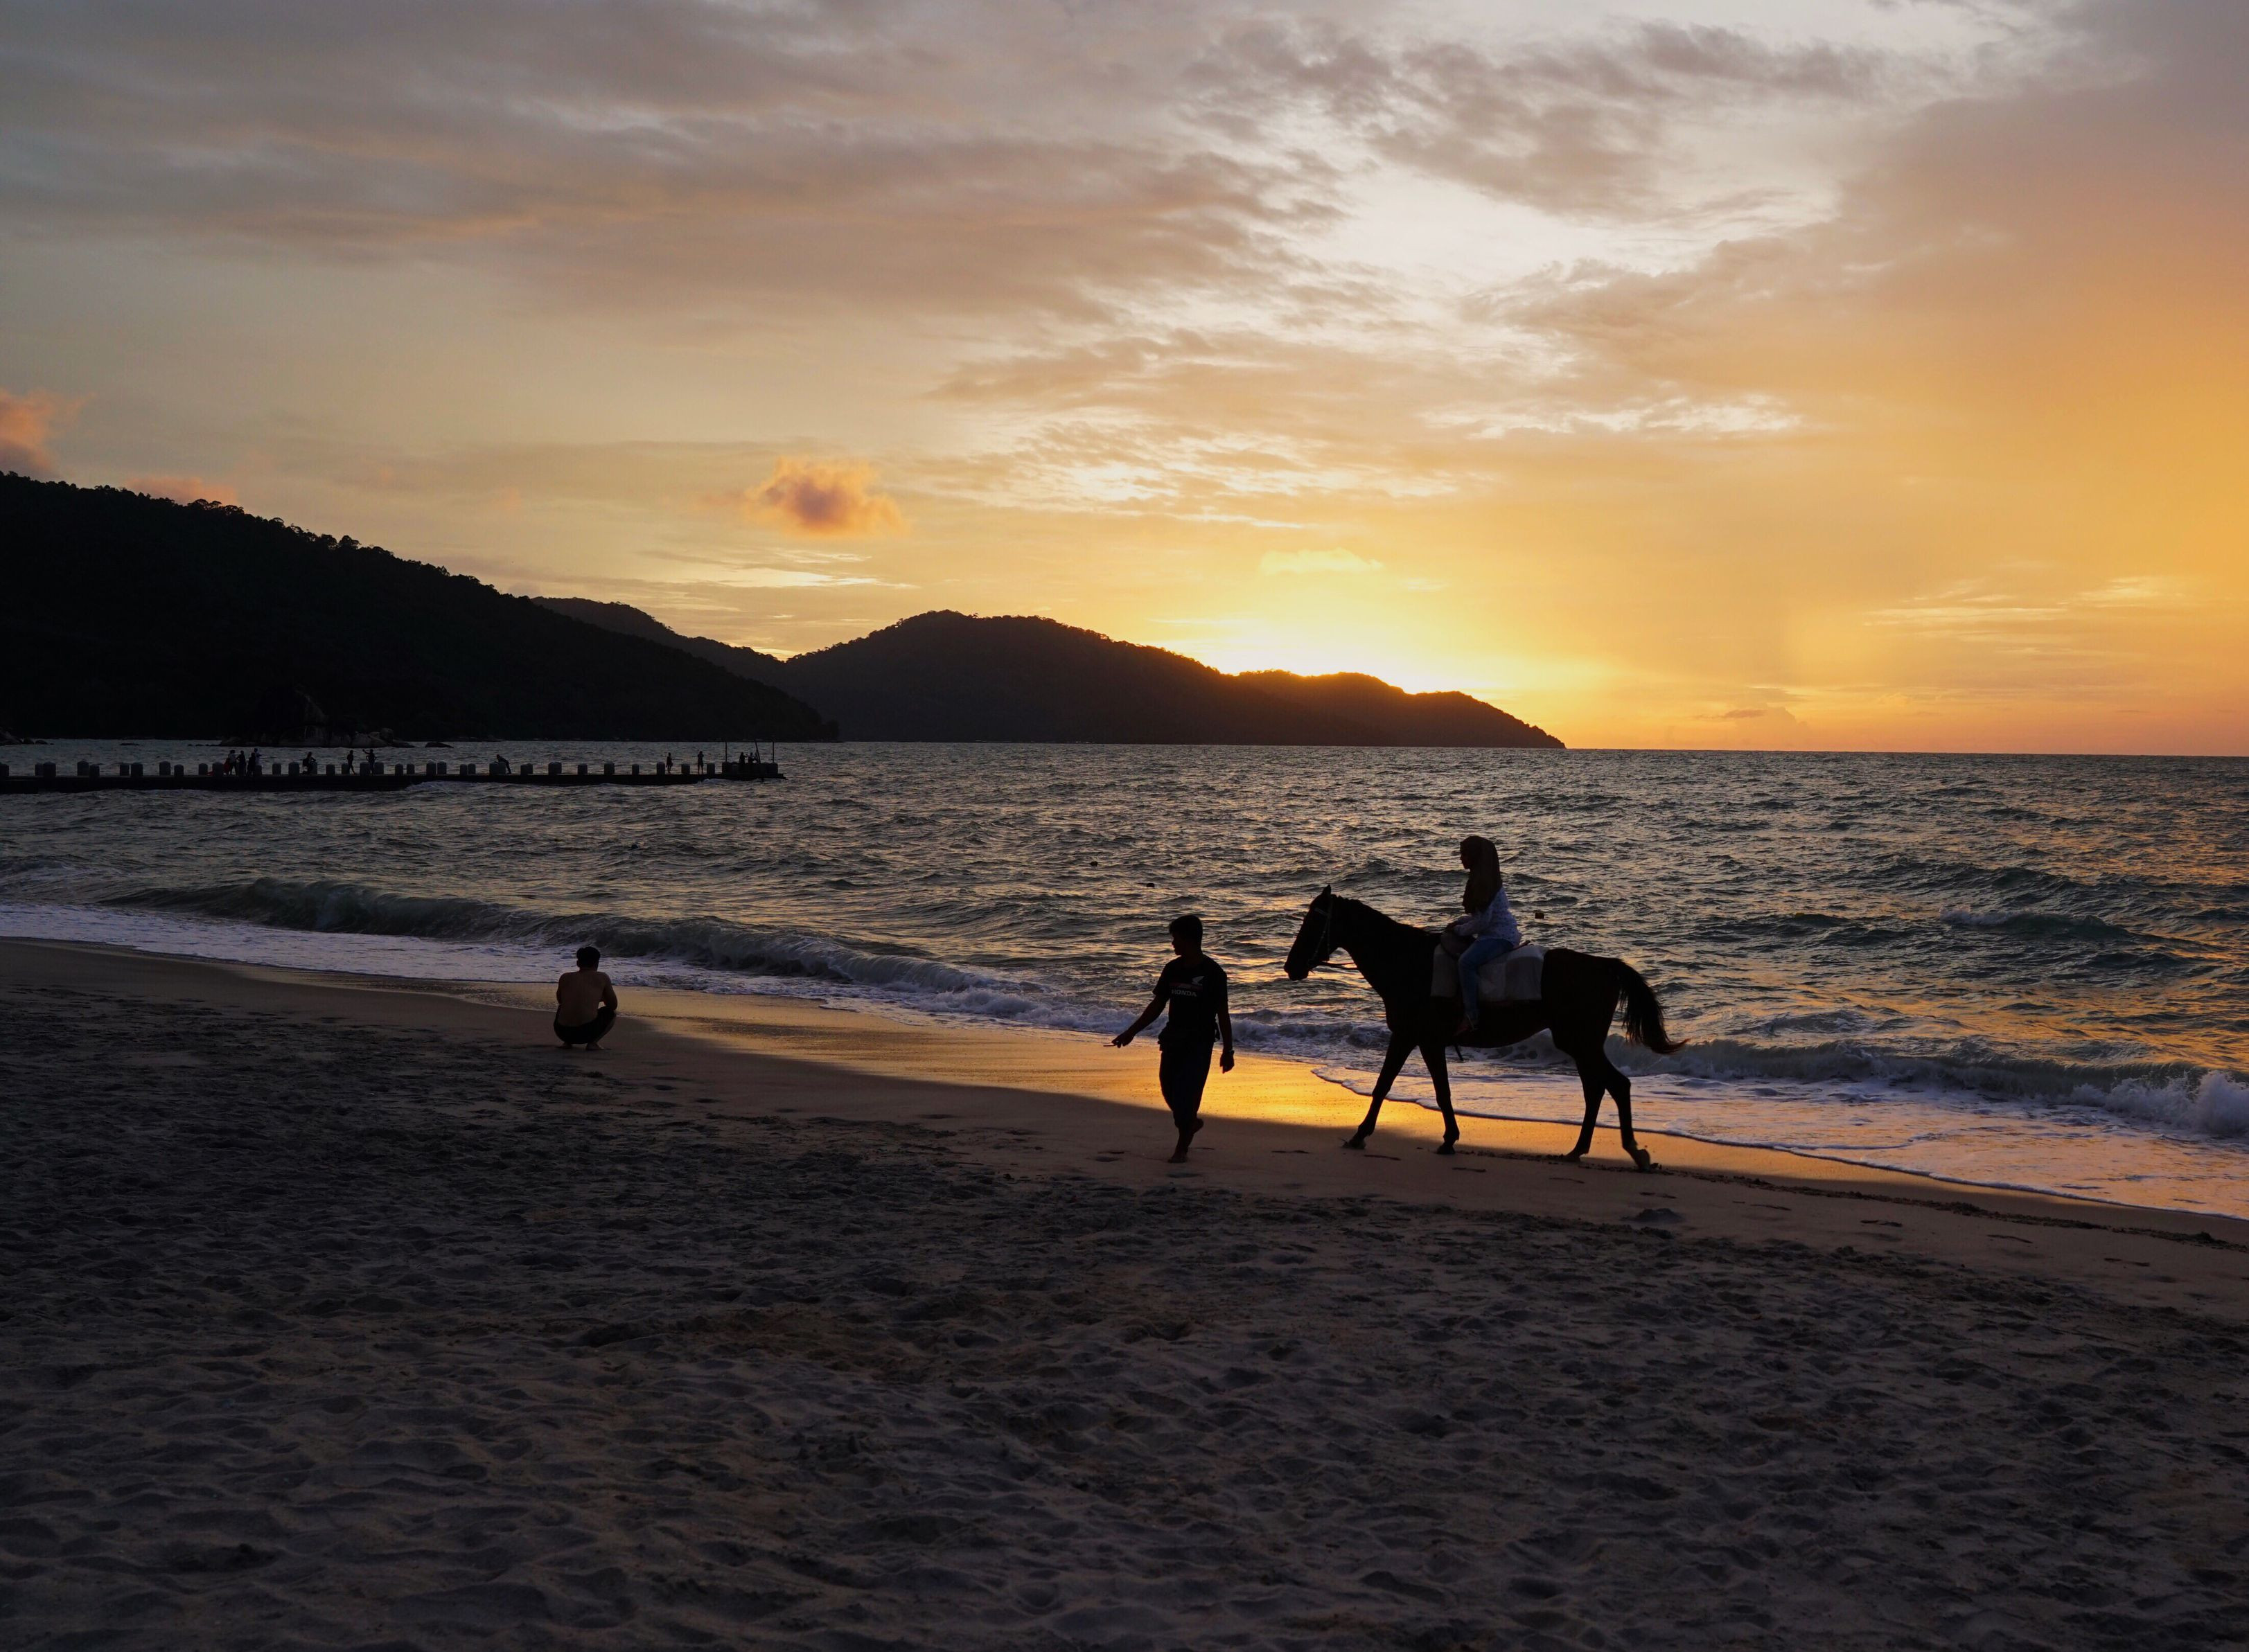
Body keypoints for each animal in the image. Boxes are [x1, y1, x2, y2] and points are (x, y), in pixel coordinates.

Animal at [1282, 886, 1682, 1167]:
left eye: (1314, 922)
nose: (1291, 967)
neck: (1409, 963)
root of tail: (1604, 966)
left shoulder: (1418, 1039)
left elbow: (1415, 1089)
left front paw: (1368, 1135)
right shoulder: (1417, 1039)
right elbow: (1401, 1087)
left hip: (1581, 1042)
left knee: (1615, 1085)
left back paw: (1634, 1152)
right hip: (1580, 1043)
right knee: (1596, 1089)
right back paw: (1578, 1150)